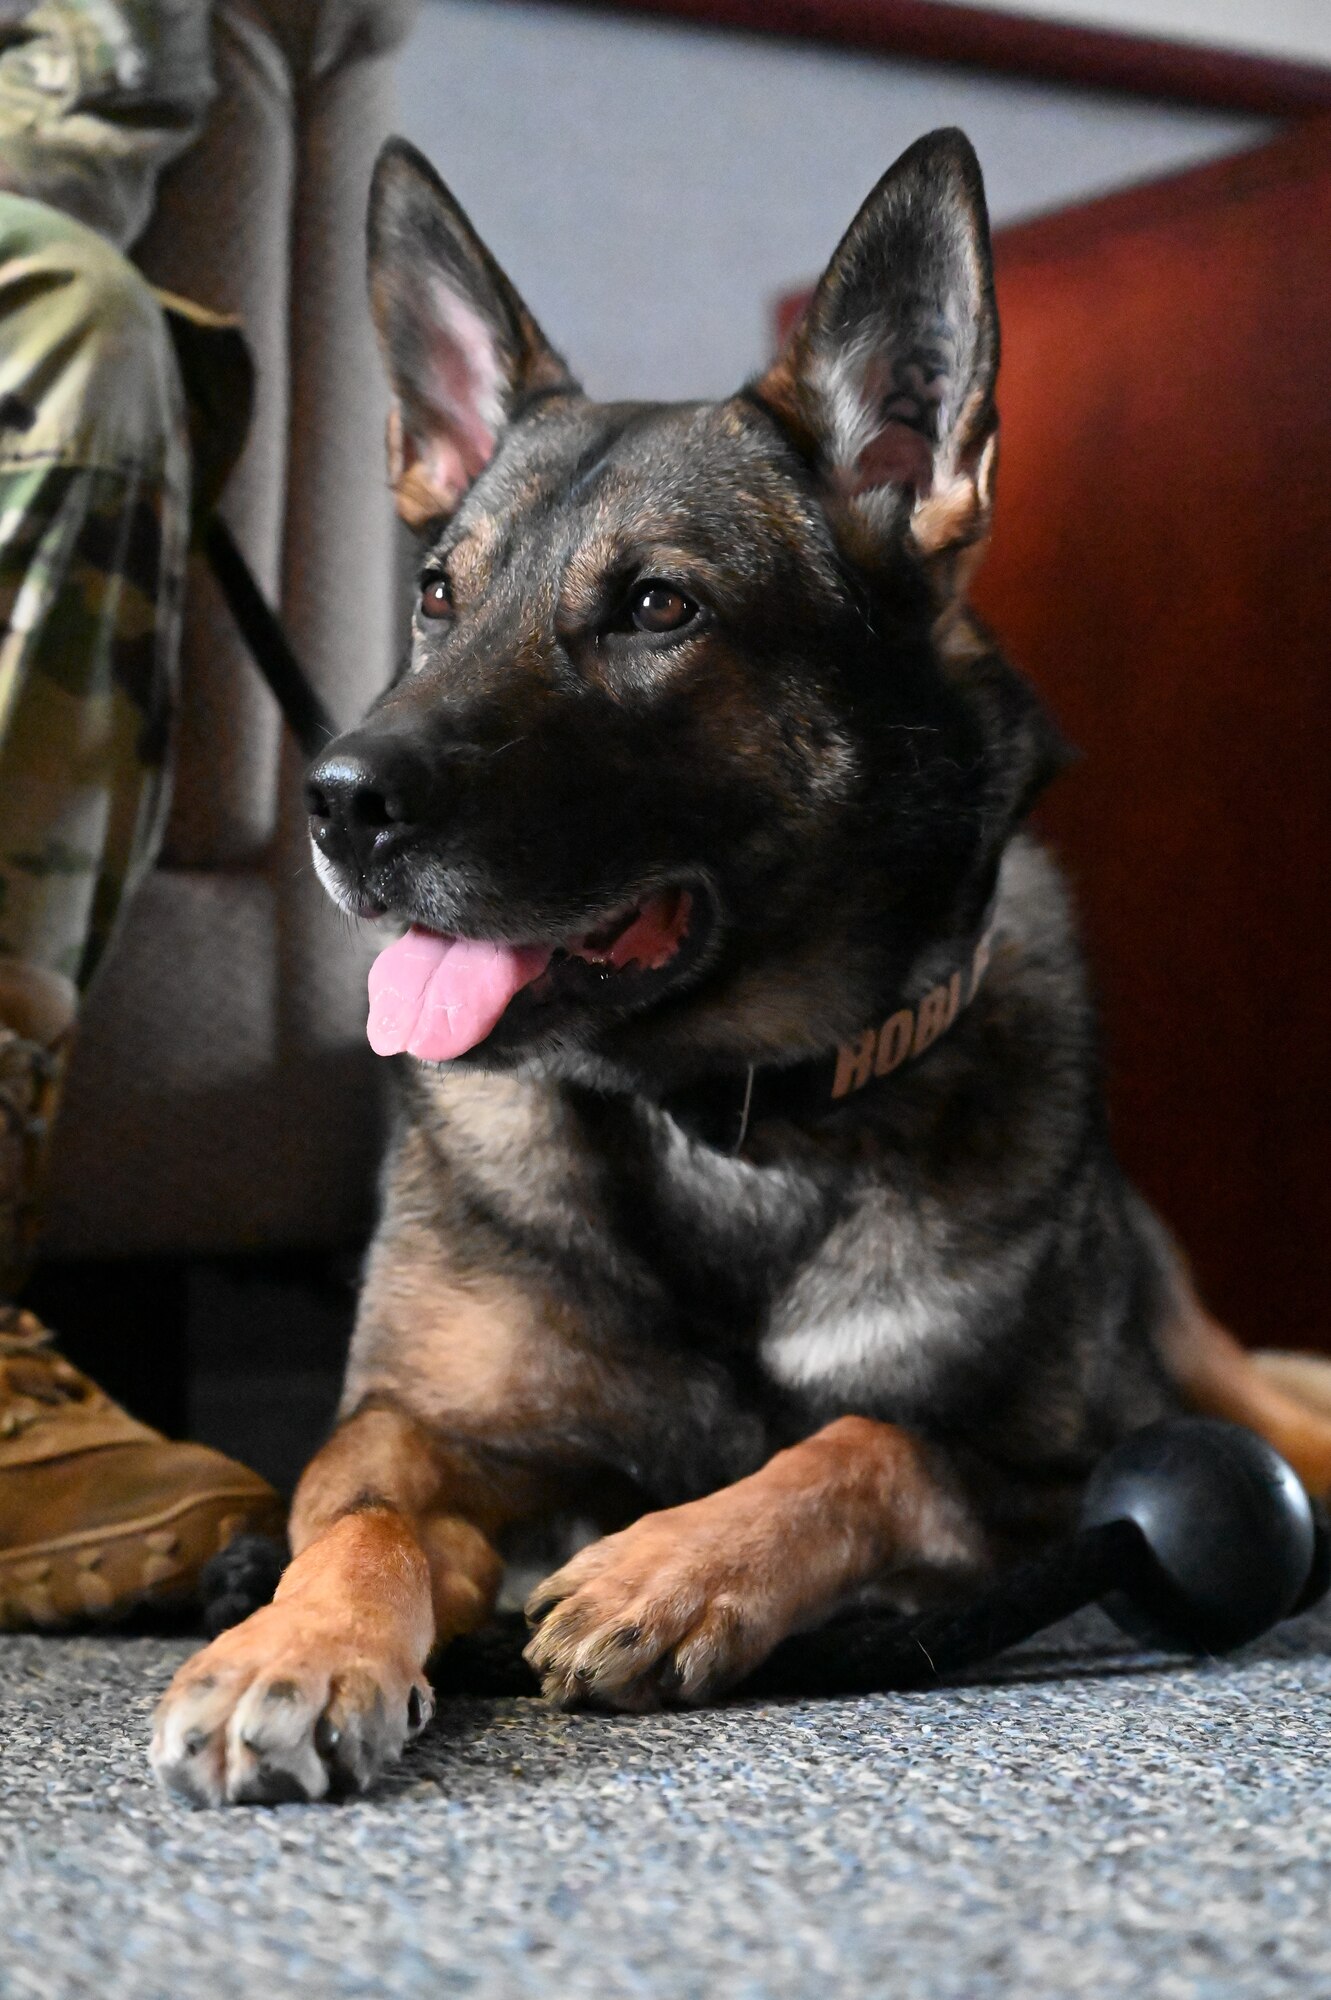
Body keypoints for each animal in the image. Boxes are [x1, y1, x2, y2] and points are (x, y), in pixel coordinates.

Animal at [149, 133, 1327, 1808]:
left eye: (657, 606)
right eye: (437, 594)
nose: (338, 801)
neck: (720, 1112)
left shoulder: (1046, 1470)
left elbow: (866, 1443)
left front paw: (674, 1568)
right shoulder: (410, 1428)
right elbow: (362, 1511)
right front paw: (291, 1647)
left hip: (1231, 1402)